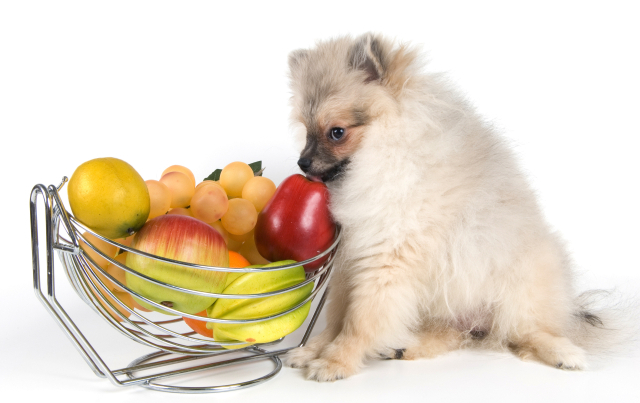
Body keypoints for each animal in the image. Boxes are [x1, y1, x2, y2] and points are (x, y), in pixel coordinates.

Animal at [284, 32, 632, 382]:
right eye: (306, 129)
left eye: (337, 132)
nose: (302, 163)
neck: (388, 151)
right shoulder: (351, 258)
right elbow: (338, 315)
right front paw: (316, 349)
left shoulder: (388, 260)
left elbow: (360, 320)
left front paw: (336, 360)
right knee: (453, 332)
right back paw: (404, 347)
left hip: (525, 282)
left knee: (526, 331)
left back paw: (561, 351)